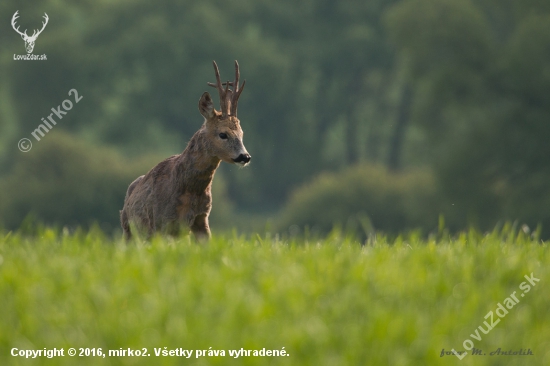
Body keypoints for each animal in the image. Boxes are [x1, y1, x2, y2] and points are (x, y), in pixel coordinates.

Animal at [121, 60, 252, 240]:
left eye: (242, 133)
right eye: (223, 134)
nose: (244, 156)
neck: (190, 189)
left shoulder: (201, 218)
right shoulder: (161, 221)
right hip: (128, 228)